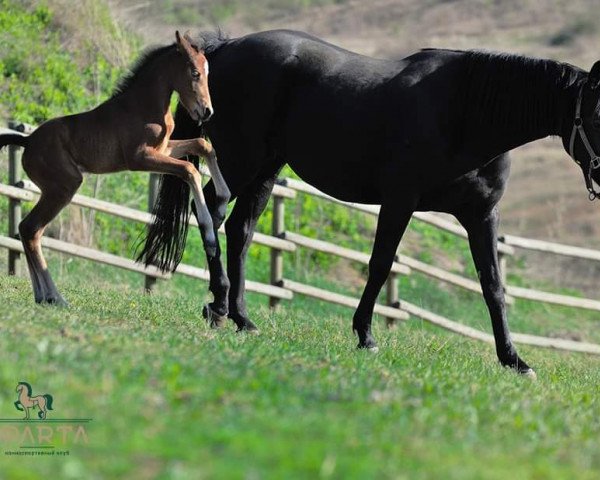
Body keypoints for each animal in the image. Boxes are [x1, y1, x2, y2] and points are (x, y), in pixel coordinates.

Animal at [0, 32, 230, 304]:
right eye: (195, 73)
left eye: (207, 72)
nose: (206, 111)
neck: (144, 105)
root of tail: (27, 141)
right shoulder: (140, 159)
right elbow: (189, 170)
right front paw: (210, 235)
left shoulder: (163, 150)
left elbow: (203, 145)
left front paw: (223, 202)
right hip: (64, 187)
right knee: (30, 229)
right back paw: (54, 296)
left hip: (57, 189)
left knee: (28, 230)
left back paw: (44, 296)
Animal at [138, 30, 600, 376]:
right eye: (596, 115)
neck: (466, 115)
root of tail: (226, 47)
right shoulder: (399, 202)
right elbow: (380, 266)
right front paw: (365, 336)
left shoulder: (481, 215)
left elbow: (493, 285)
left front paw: (514, 360)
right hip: (239, 162)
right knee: (210, 215)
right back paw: (217, 306)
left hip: (266, 169)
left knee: (240, 231)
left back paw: (242, 318)